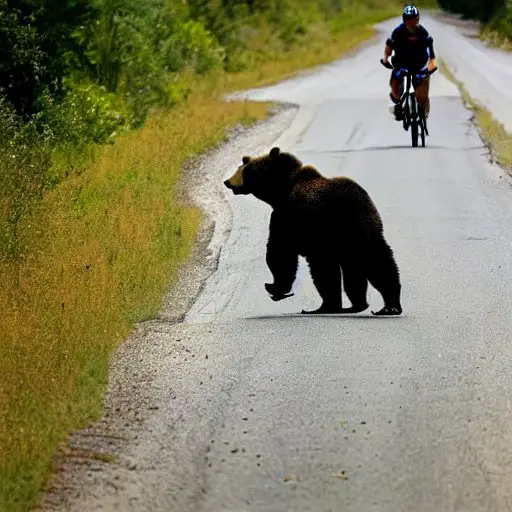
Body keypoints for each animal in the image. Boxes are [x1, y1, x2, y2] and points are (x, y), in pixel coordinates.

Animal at [222, 147, 402, 316]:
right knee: (376, 261)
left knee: (331, 268)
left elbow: (280, 251)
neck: (281, 191)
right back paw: (377, 305)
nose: (227, 181)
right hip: (363, 229)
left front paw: (275, 288)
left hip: (333, 230)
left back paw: (328, 306)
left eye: (244, 169)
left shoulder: (287, 216)